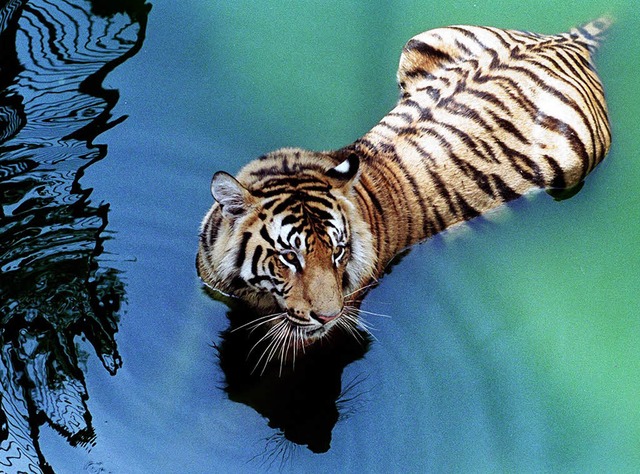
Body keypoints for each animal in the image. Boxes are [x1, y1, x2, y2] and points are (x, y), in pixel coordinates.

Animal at [198, 19, 612, 356]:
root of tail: (568, 40)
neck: (252, 291)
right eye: (288, 257)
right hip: (423, 39)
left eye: (339, 251)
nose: (328, 316)